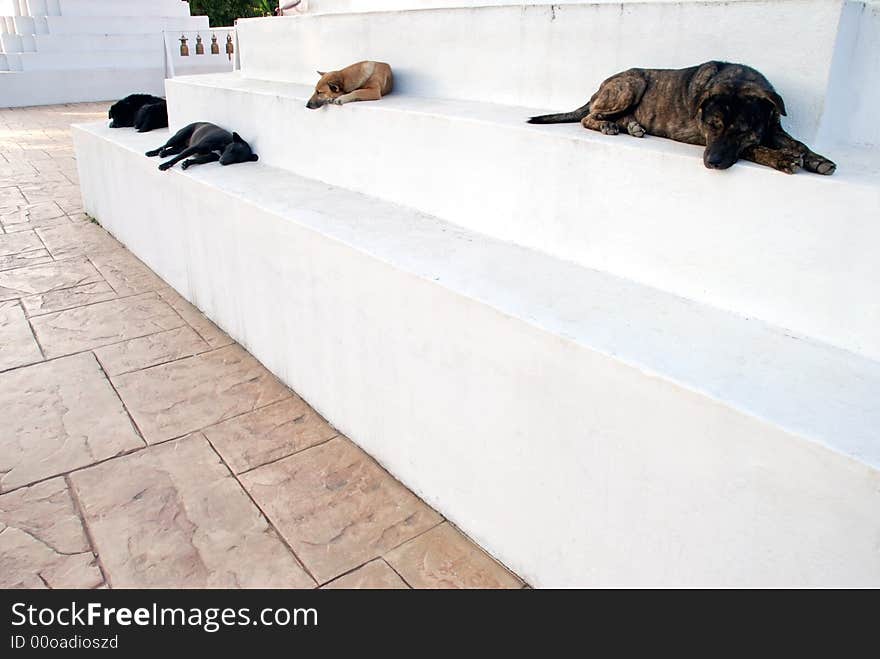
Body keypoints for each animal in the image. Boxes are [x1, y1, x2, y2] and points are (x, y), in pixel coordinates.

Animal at [524, 61, 836, 175]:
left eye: (740, 130)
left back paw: (632, 126)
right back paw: (608, 125)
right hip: (631, 85)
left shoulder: (773, 127)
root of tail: (600, 87)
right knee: (588, 117)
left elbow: (798, 144)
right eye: (712, 125)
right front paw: (783, 159)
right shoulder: (704, 139)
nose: (712, 163)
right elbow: (756, 149)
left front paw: (817, 159)